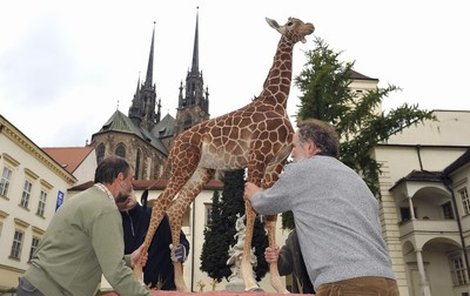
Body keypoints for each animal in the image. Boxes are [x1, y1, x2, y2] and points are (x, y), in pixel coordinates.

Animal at [134, 16, 314, 292]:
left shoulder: (276, 164)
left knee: (175, 209)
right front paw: (250, 280)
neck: (276, 101)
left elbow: (270, 216)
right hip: (184, 166)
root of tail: (174, 143)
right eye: (292, 23)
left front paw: (279, 286)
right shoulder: (257, 158)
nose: (311, 27)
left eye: (301, 20)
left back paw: (181, 284)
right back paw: (137, 276)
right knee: (162, 203)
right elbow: (251, 209)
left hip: (201, 173)